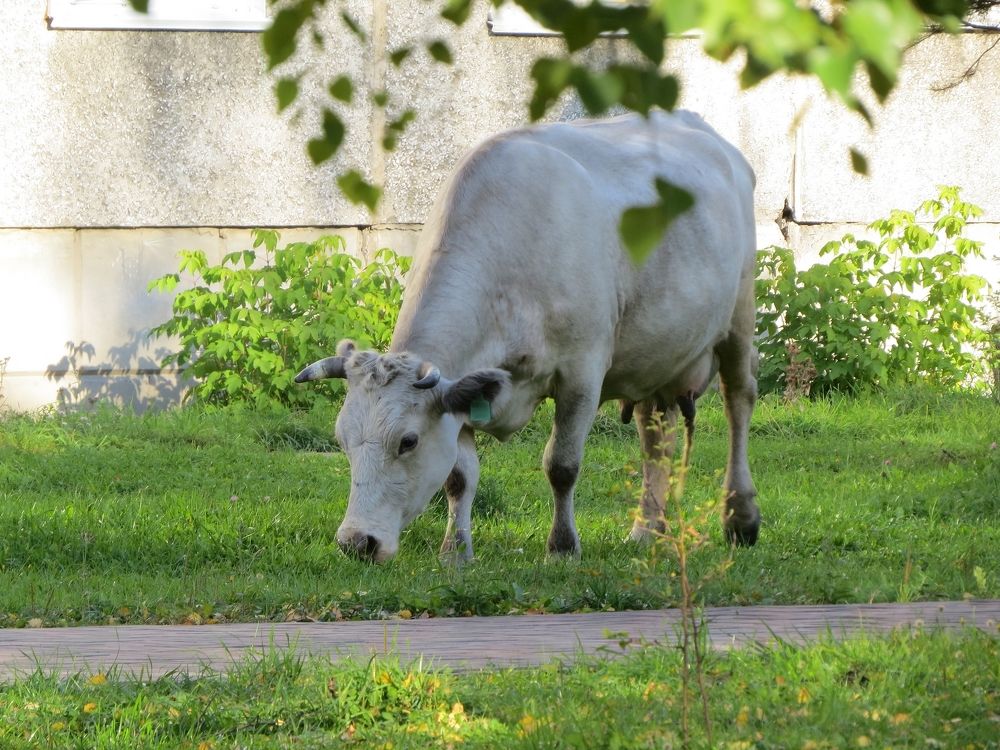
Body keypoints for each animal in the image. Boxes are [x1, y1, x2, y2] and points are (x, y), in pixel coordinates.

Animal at [296, 110, 759, 563]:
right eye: (342, 440)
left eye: (407, 442)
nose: (357, 542)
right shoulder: (466, 390)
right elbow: (459, 476)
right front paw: (455, 552)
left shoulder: (582, 373)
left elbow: (562, 465)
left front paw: (563, 547)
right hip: (655, 355)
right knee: (655, 435)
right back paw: (647, 531)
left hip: (740, 317)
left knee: (739, 400)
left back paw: (740, 519)